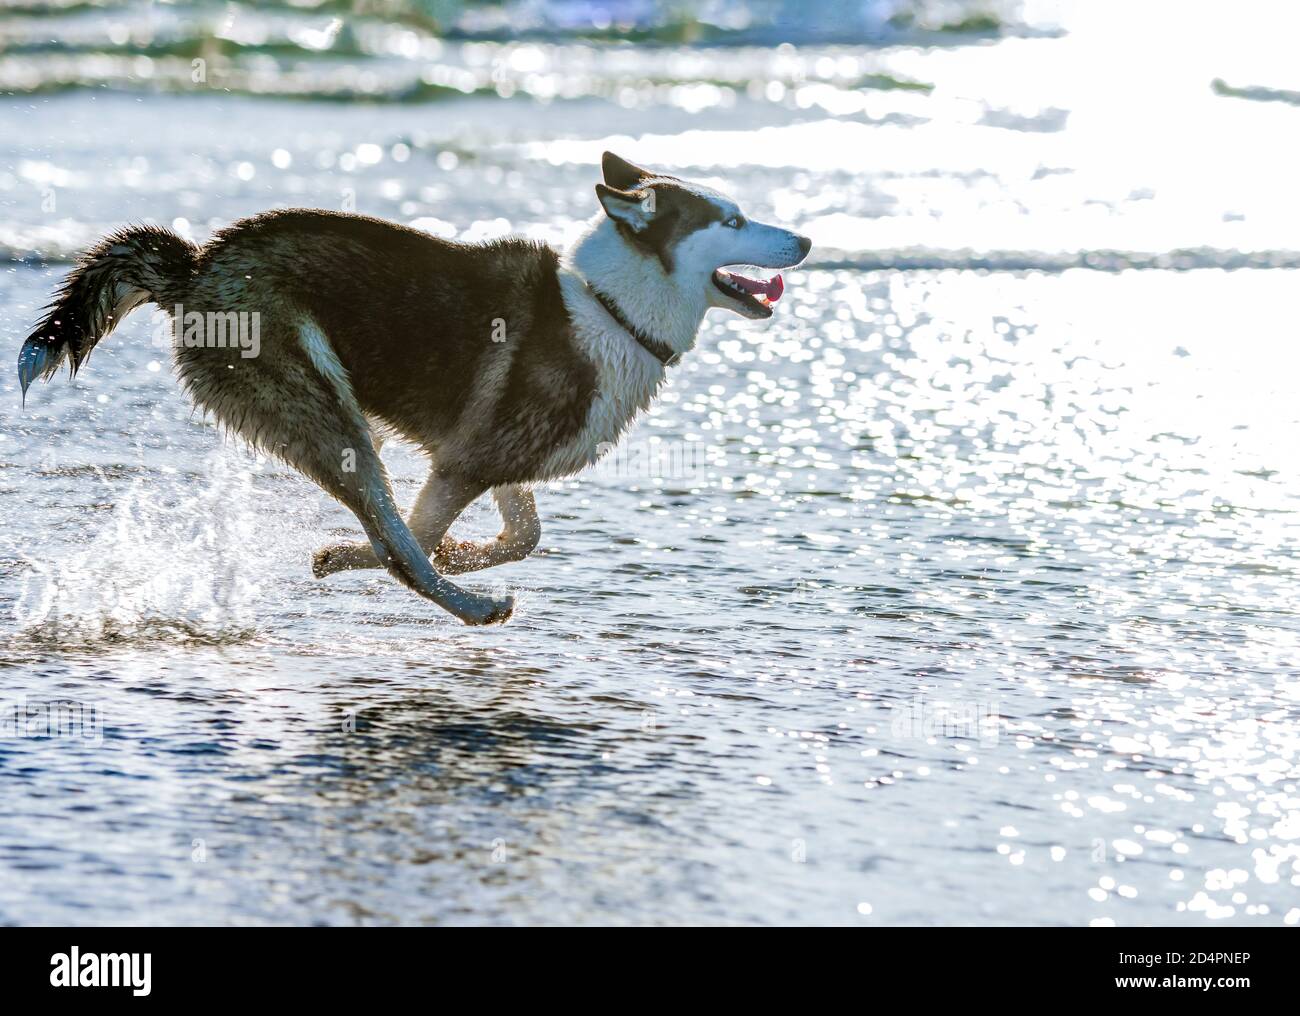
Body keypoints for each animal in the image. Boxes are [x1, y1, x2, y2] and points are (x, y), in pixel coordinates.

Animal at [17, 153, 811, 623]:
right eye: (733, 220)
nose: (804, 241)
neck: (610, 307)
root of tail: (195, 267)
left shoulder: (489, 458)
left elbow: (521, 535)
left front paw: (445, 550)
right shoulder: (466, 462)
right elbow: (416, 537)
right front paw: (370, 556)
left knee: (397, 528)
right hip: (324, 411)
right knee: (394, 537)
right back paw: (469, 605)